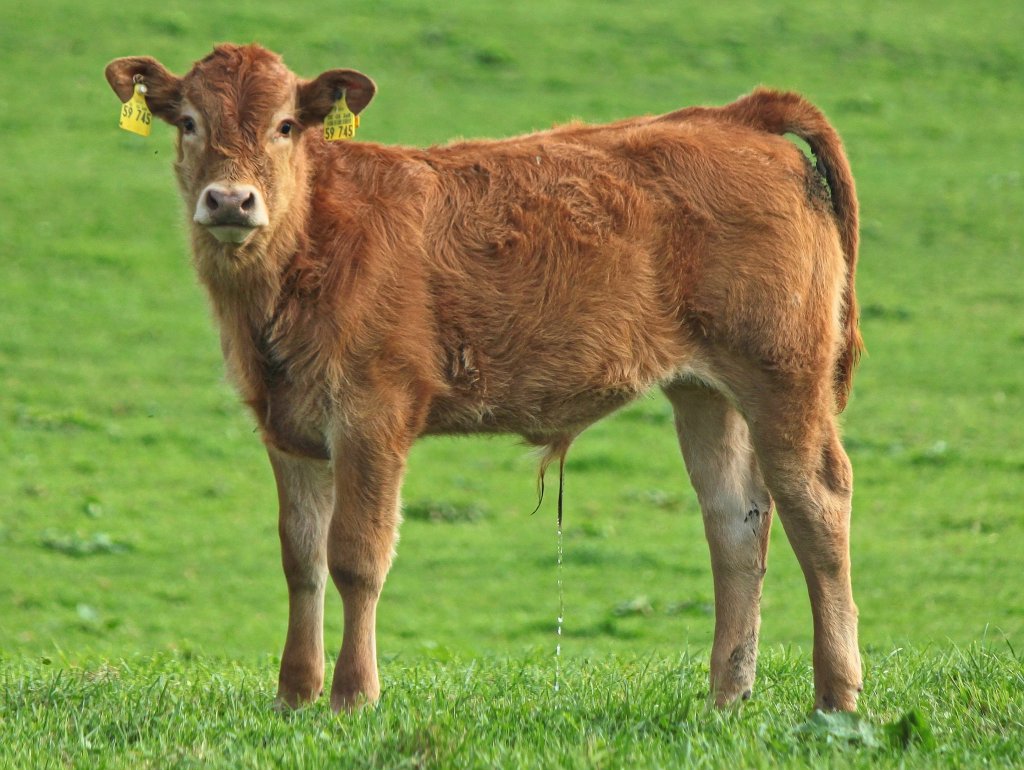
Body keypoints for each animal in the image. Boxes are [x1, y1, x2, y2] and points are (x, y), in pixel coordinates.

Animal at [105, 45, 864, 712]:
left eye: (285, 125)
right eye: (189, 121)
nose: (231, 201)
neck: (308, 251)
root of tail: (735, 116)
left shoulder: (372, 417)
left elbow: (356, 556)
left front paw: (353, 696)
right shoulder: (288, 428)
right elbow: (302, 561)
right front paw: (294, 695)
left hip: (785, 377)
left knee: (816, 507)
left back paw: (837, 696)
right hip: (705, 391)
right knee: (736, 521)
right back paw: (726, 696)